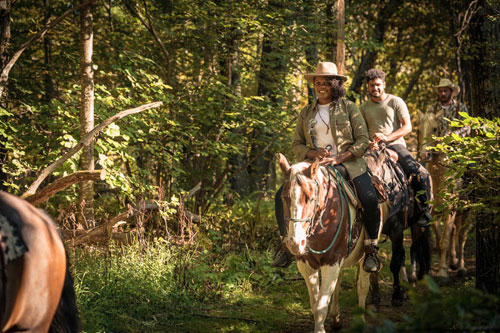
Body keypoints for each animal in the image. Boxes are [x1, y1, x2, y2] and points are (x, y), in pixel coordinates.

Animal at [278, 154, 382, 332]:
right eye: (284, 198)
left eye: (311, 198)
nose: (295, 243)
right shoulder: (305, 264)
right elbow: (315, 303)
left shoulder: (332, 261)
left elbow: (320, 306)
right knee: (338, 284)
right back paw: (336, 319)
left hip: (364, 255)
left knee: (362, 285)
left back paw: (360, 321)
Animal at [418, 111, 472, 280]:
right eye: (418, 130)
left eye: (435, 129)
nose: (424, 154)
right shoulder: (434, 212)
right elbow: (440, 238)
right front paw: (445, 265)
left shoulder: (450, 210)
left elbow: (445, 241)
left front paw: (442, 273)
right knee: (455, 232)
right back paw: (453, 262)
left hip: (466, 209)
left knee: (462, 236)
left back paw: (461, 267)